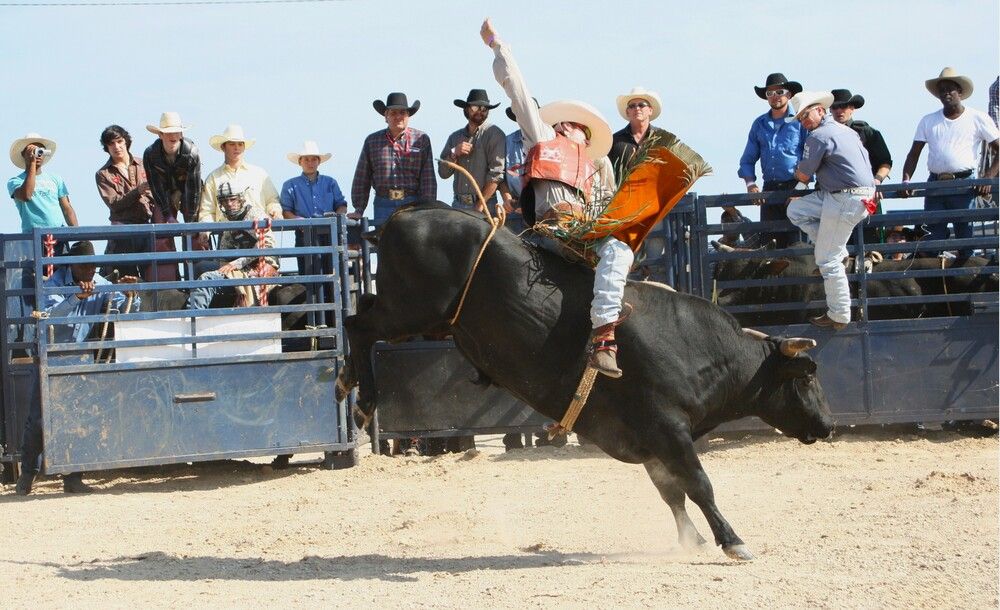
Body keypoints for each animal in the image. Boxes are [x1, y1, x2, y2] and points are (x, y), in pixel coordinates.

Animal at [336, 202, 834, 561]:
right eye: (809, 376)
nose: (829, 425)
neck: (696, 347)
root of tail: (404, 215)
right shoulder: (668, 429)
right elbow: (698, 485)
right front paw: (731, 540)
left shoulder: (649, 441)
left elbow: (671, 492)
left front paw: (690, 539)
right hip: (413, 311)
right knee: (357, 325)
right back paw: (361, 400)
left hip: (410, 312)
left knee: (359, 312)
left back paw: (345, 382)